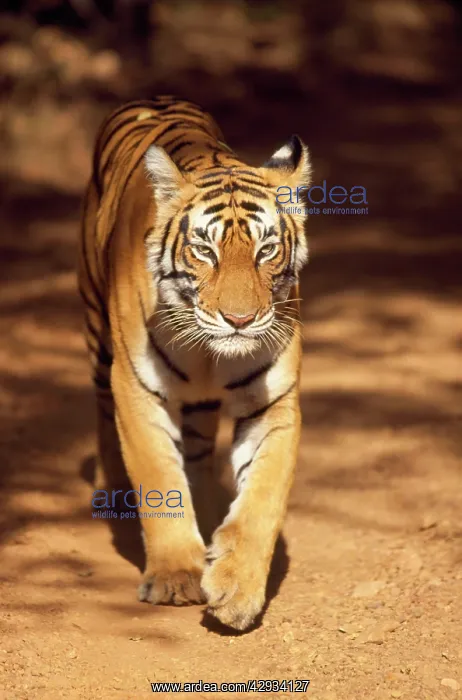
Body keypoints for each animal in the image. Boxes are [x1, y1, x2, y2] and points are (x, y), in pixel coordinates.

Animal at [78, 96, 311, 631]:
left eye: (267, 249)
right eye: (205, 251)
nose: (240, 320)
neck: (210, 355)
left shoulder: (273, 404)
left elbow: (263, 498)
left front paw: (237, 589)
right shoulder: (137, 390)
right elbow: (159, 479)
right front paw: (175, 578)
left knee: (201, 454)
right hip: (97, 336)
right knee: (102, 416)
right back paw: (111, 491)